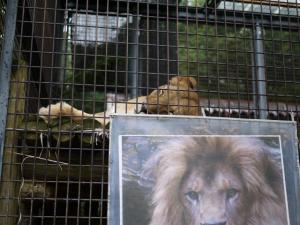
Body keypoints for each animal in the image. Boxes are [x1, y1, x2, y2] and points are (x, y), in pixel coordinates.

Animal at [37, 76, 202, 127]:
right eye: (161, 92)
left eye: (169, 112)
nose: (144, 108)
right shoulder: (107, 112)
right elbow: (81, 114)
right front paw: (49, 111)